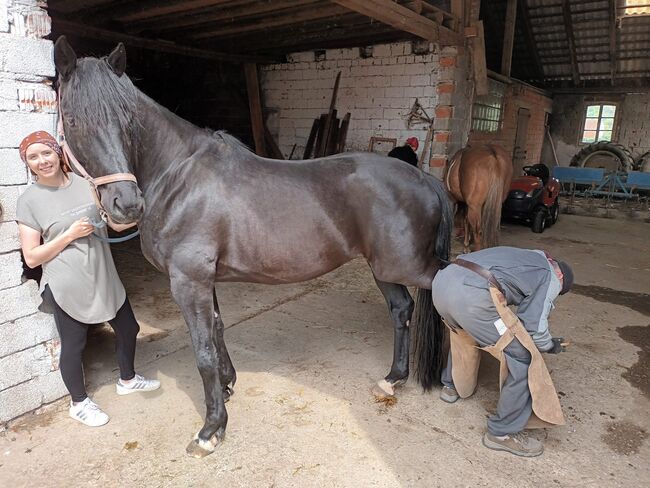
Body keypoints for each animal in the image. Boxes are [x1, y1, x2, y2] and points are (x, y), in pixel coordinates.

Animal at [54, 37, 450, 458]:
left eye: (128, 122)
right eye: (74, 121)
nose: (126, 205)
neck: (178, 176)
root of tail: (424, 178)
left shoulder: (188, 281)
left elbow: (203, 352)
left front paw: (211, 430)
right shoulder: (203, 280)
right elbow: (217, 329)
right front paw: (227, 385)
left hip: (405, 266)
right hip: (383, 268)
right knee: (401, 309)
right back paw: (394, 378)